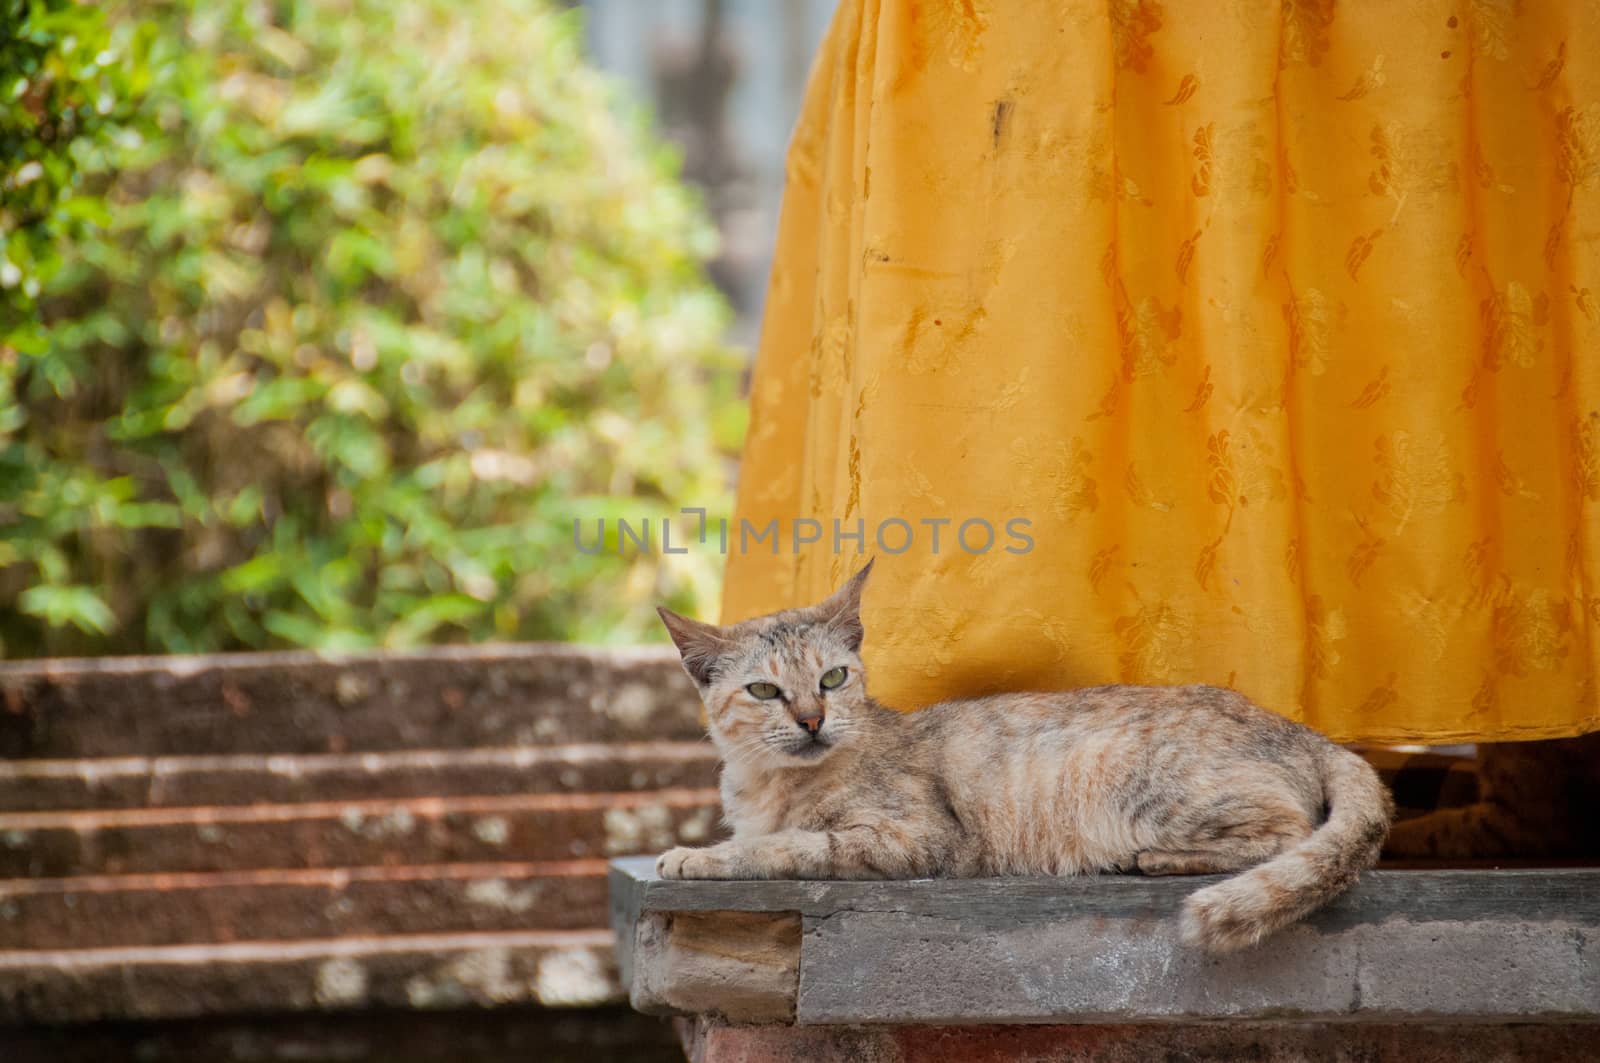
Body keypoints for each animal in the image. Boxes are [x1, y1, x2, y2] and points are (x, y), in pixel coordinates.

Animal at [656, 563, 1395, 954]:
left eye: (833, 678)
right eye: (764, 690)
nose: (811, 719)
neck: (770, 784)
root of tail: (1303, 731)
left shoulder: (913, 837)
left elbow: (780, 846)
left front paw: (693, 856)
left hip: (1151, 786)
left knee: (1293, 833)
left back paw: (1151, 858)